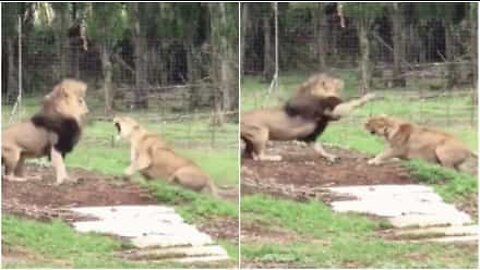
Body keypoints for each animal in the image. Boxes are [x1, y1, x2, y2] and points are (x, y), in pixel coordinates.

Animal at [242, 73, 374, 161]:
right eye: (332, 80)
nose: (341, 79)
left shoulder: (310, 136)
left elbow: (319, 148)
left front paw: (329, 156)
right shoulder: (332, 110)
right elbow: (351, 103)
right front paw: (368, 96)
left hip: (251, 139)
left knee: (249, 154)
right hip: (261, 133)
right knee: (259, 156)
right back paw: (274, 157)